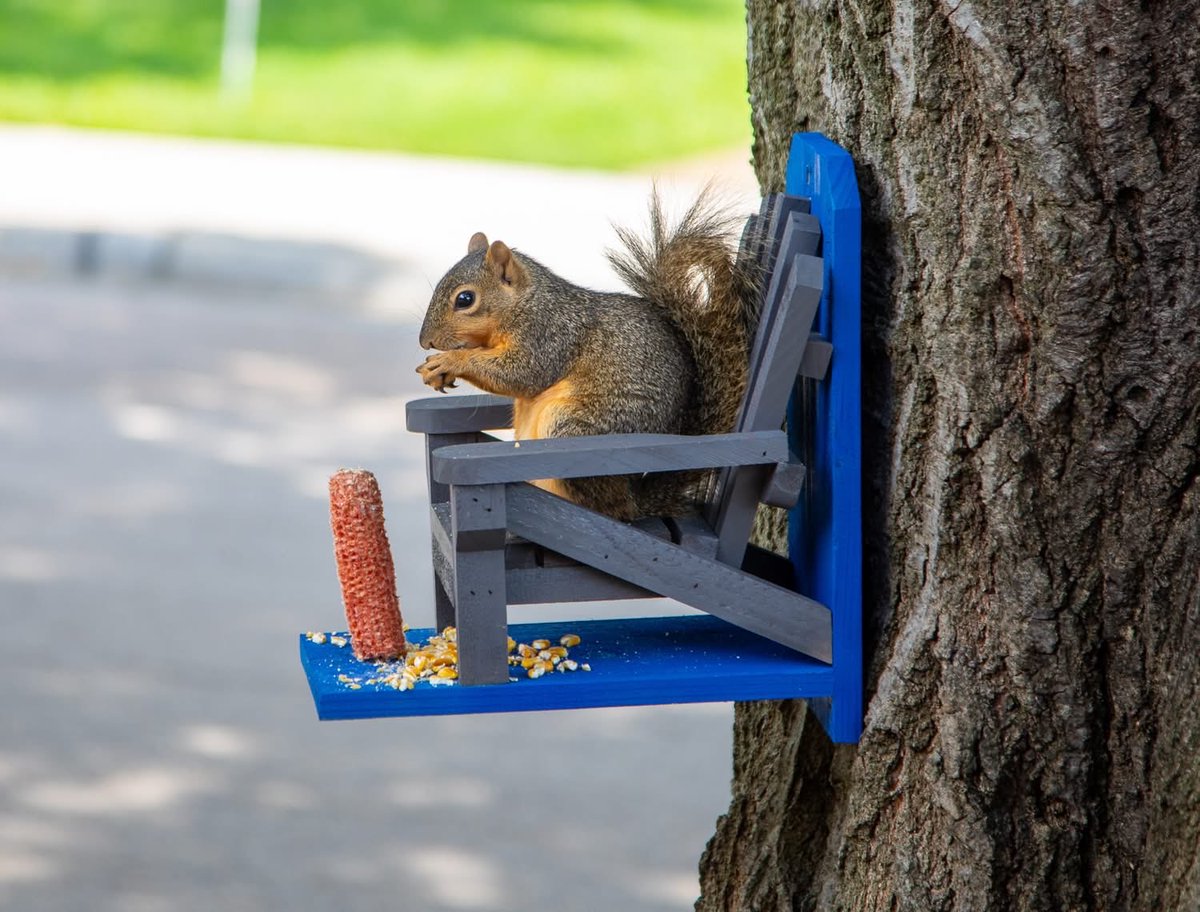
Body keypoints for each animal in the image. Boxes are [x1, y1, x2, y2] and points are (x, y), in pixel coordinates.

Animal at [416, 191, 759, 521]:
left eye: (465, 299)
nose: (424, 341)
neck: (525, 302)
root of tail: (638, 501)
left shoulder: (548, 334)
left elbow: (523, 374)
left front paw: (451, 361)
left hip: (572, 424)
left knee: (609, 508)